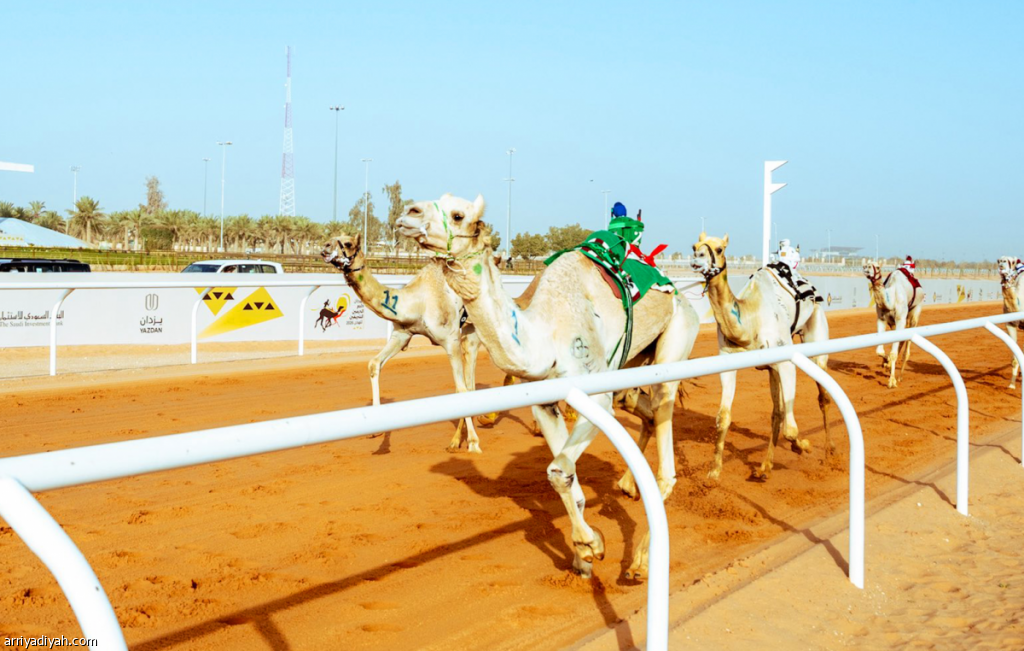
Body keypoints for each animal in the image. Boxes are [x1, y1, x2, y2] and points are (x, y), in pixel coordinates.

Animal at [322, 233, 491, 453]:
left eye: (348, 243)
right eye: (331, 238)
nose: (325, 247)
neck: (417, 302)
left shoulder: (450, 338)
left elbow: (461, 389)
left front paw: (474, 443)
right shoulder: (402, 334)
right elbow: (374, 364)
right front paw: (376, 430)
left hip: (475, 330)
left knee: (469, 383)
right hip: (468, 333)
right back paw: (456, 440)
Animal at [397, 193, 700, 580]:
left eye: (458, 214)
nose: (408, 213)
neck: (544, 334)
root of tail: (678, 291)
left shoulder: (595, 396)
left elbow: (557, 470)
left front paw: (591, 545)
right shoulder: (544, 401)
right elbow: (566, 478)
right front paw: (585, 555)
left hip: (676, 340)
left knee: (664, 434)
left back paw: (639, 562)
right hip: (632, 363)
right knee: (639, 408)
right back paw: (627, 486)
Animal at [691, 233, 833, 481]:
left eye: (719, 249)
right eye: (694, 246)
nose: (697, 259)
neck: (749, 321)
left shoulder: (786, 362)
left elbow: (791, 429)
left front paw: (803, 446)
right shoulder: (729, 362)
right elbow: (723, 417)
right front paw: (714, 471)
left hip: (817, 337)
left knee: (823, 397)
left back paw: (828, 453)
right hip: (771, 368)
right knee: (777, 412)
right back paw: (765, 467)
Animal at [862, 260, 924, 388]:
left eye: (877, 267)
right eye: (866, 264)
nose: (866, 268)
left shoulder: (900, 318)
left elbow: (893, 353)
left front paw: (892, 381)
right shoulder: (882, 319)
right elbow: (880, 351)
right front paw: (886, 363)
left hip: (915, 312)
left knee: (906, 347)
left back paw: (900, 376)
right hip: (894, 323)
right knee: (901, 341)